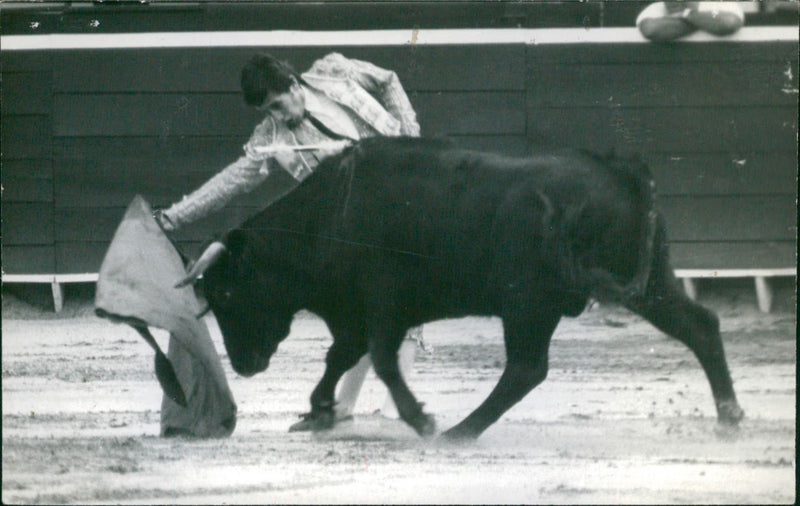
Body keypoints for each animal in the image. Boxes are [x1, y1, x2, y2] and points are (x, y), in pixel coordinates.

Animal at [181, 136, 744, 440]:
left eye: (226, 296)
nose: (243, 366)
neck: (331, 213)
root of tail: (620, 169)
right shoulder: (353, 312)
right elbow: (340, 357)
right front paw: (319, 412)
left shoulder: (384, 305)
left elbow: (379, 361)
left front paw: (419, 420)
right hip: (649, 285)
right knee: (700, 327)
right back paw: (729, 418)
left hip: (528, 304)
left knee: (525, 369)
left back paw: (458, 432)